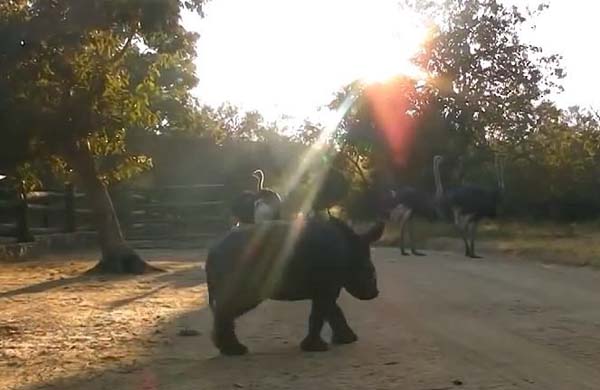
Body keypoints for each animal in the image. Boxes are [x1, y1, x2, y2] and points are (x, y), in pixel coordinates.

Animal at [206, 216, 384, 356]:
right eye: (369, 270)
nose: (374, 293)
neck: (350, 249)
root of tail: (212, 250)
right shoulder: (326, 286)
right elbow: (321, 313)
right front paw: (317, 348)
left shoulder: (324, 288)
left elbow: (332, 311)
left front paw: (347, 340)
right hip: (240, 263)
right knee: (235, 303)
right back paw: (235, 351)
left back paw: (228, 349)